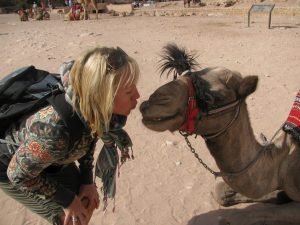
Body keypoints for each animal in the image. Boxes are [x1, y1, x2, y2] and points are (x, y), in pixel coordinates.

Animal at [140, 43, 300, 224]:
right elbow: (219, 190)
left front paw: (280, 196)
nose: (151, 102)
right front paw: (279, 194)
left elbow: (241, 217)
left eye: (213, 97)